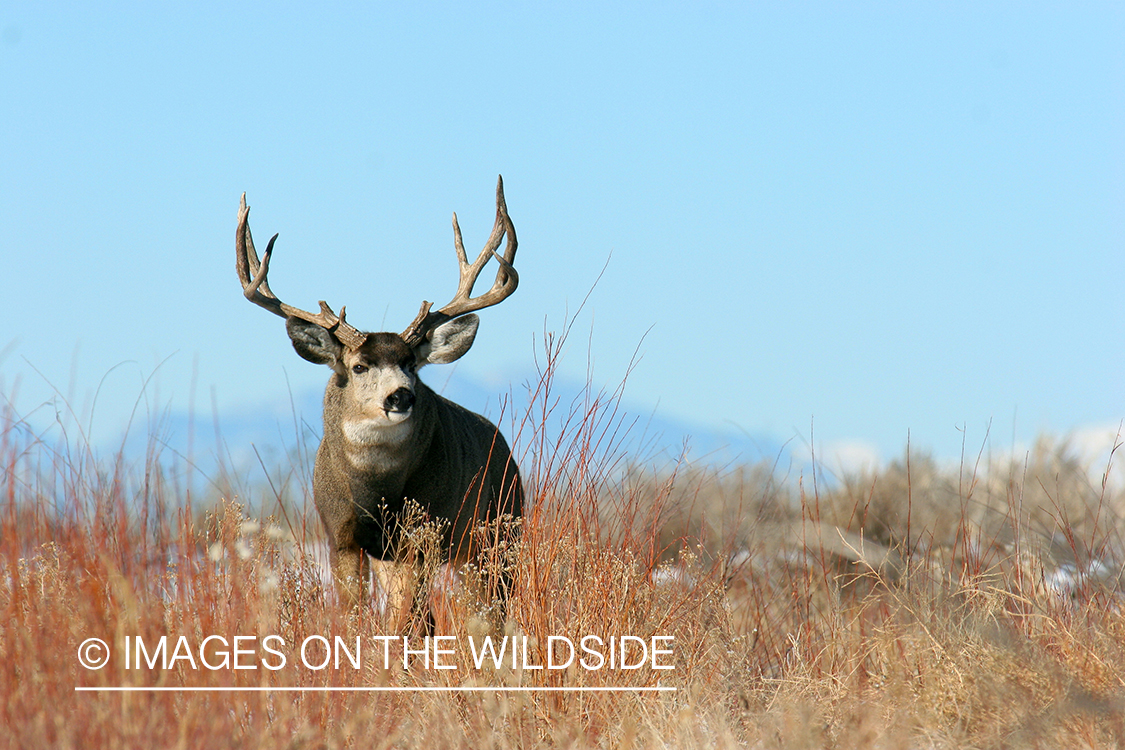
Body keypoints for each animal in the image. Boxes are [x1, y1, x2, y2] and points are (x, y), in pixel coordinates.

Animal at [234, 176, 524, 632]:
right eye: (358, 366)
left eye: (411, 364)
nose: (400, 395)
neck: (374, 491)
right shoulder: (341, 536)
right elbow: (354, 616)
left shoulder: (424, 533)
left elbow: (413, 622)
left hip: (499, 531)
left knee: (493, 610)